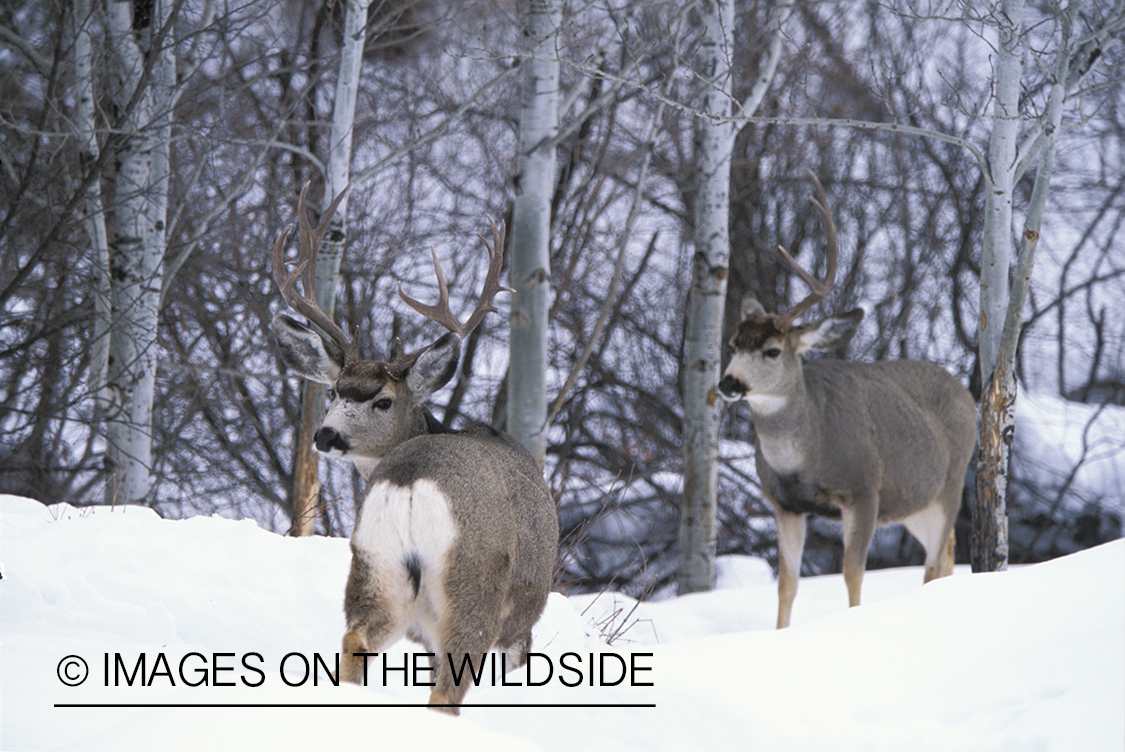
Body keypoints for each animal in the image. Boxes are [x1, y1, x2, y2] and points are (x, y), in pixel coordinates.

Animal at [268, 184, 558, 715]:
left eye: (381, 400)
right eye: (335, 391)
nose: (326, 436)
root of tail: (408, 483)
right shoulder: (521, 626)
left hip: (373, 566)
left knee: (355, 641)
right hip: (473, 580)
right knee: (446, 688)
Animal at [720, 169, 976, 630]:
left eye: (773, 351)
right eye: (733, 343)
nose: (729, 383)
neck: (806, 455)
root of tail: (965, 392)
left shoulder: (863, 489)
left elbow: (852, 573)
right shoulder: (784, 504)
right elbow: (787, 584)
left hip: (949, 484)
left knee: (933, 561)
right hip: (914, 502)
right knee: (945, 553)